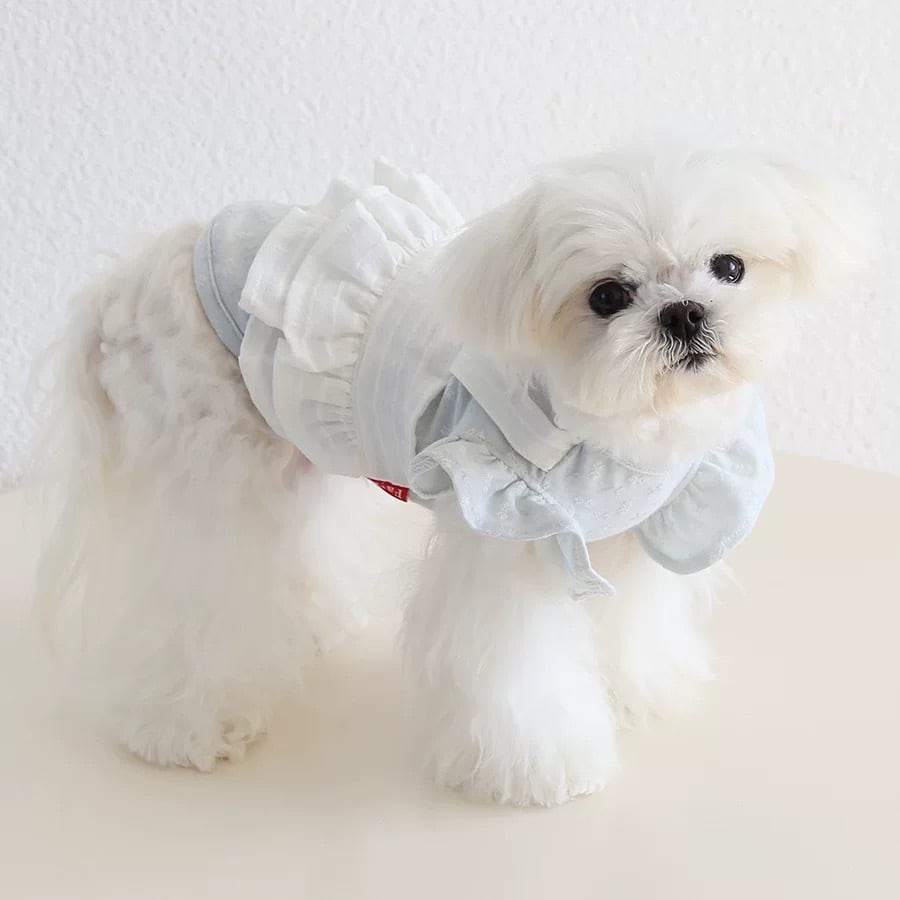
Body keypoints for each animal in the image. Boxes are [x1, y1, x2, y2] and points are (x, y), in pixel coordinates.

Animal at [32, 146, 871, 806]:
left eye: (730, 266)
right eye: (608, 296)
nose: (686, 313)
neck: (616, 433)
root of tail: (128, 278)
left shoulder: (631, 530)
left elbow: (631, 623)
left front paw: (638, 689)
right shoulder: (512, 541)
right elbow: (517, 669)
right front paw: (544, 767)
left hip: (288, 449)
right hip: (210, 465)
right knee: (193, 596)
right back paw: (188, 723)